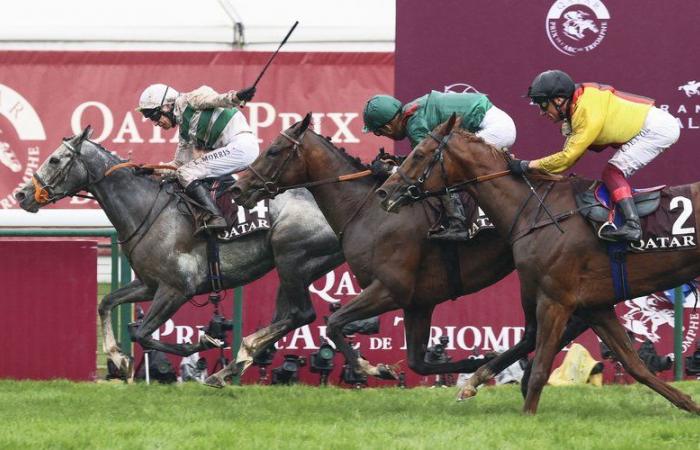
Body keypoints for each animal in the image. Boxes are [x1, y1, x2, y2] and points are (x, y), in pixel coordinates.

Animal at [14, 125, 344, 382]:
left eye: (55, 159)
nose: (21, 194)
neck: (148, 210)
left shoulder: (176, 289)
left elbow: (143, 333)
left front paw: (204, 340)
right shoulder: (149, 284)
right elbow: (106, 303)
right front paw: (119, 358)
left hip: (292, 258)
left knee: (302, 313)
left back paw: (236, 359)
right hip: (292, 269)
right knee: (287, 316)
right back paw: (232, 366)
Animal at [227, 114, 516, 382]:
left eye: (273, 150)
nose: (237, 188)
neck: (368, 212)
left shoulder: (390, 289)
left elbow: (333, 323)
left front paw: (372, 368)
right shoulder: (419, 302)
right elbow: (418, 363)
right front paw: (481, 362)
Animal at [378, 114, 700, 416]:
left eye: (419, 154)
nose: (384, 193)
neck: (535, 211)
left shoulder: (555, 300)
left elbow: (541, 367)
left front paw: (526, 414)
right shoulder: (594, 305)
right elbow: (635, 364)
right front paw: (688, 404)